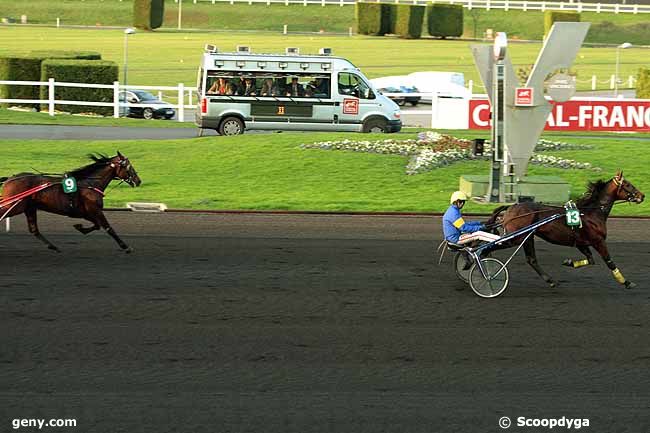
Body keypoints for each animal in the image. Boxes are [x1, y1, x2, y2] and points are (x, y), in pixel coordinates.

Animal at [0, 152, 141, 253]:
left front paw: (79, 227)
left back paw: (54, 247)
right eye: (128, 166)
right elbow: (108, 228)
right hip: (15, 206)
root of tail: (10, 179)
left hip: (29, 208)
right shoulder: (95, 210)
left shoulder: (85, 212)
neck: (90, 184)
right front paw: (125, 247)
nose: (138, 180)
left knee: (34, 230)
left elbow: (96, 225)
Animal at [486, 170, 644, 288]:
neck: (592, 213)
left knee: (531, 259)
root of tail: (511, 207)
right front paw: (626, 282)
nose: (642, 196)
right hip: (515, 238)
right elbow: (609, 262)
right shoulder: (598, 241)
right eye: (628, 185)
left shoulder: (581, 242)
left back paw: (551, 281)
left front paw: (568, 262)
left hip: (527, 237)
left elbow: (591, 259)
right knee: (489, 247)